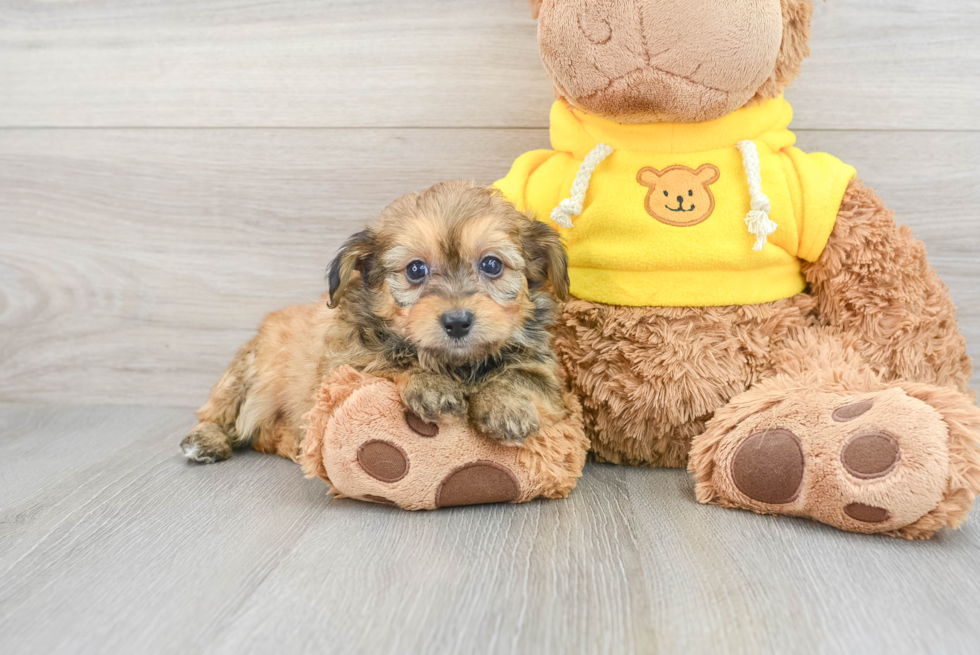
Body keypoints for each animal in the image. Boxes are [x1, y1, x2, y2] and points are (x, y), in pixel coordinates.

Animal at [180, 182, 572, 464]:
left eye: (492, 265)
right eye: (415, 270)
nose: (457, 322)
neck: (456, 364)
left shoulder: (544, 373)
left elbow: (519, 376)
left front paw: (507, 408)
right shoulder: (346, 367)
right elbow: (391, 361)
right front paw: (430, 384)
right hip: (245, 372)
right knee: (216, 412)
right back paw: (205, 439)